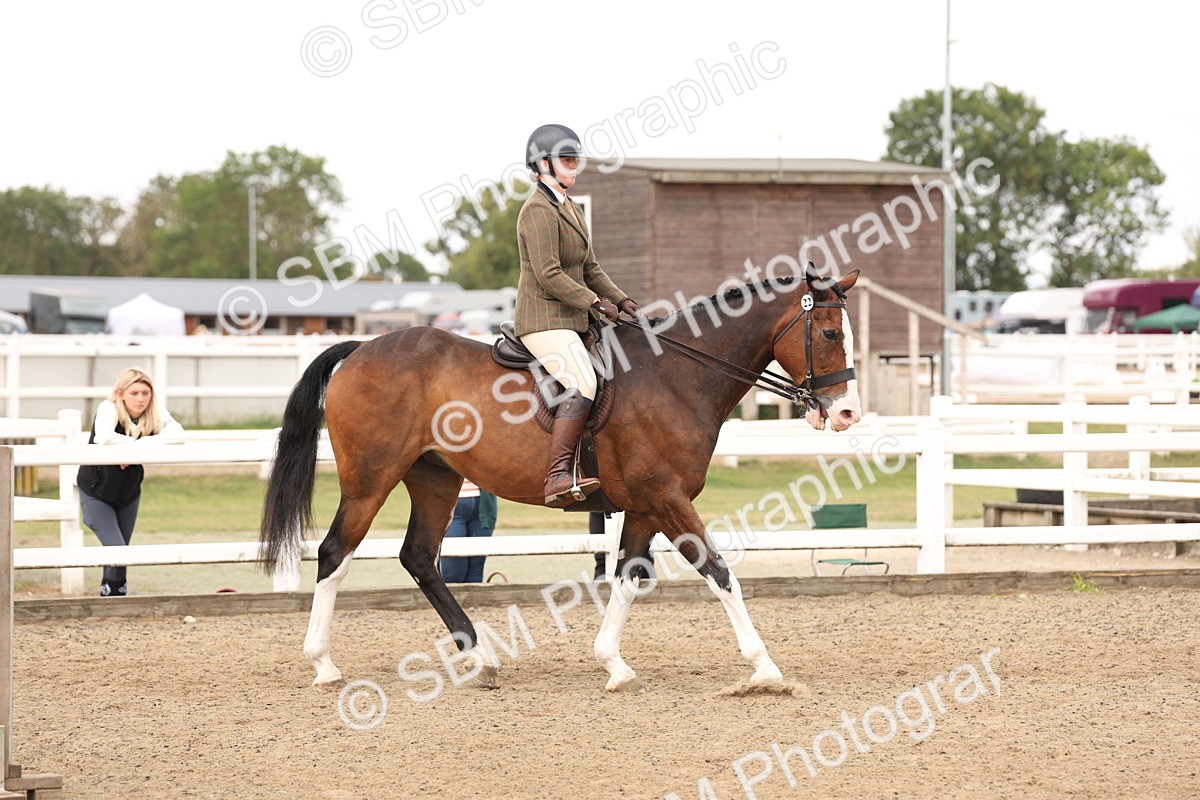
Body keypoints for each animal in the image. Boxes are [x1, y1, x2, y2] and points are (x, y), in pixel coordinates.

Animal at [259, 268, 862, 691]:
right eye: (831, 332)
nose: (847, 413)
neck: (677, 376)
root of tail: (362, 348)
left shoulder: (645, 505)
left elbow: (628, 576)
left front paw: (613, 665)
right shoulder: (667, 498)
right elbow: (719, 572)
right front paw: (765, 668)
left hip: (435, 479)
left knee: (419, 558)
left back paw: (480, 660)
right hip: (371, 479)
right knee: (336, 551)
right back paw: (324, 665)